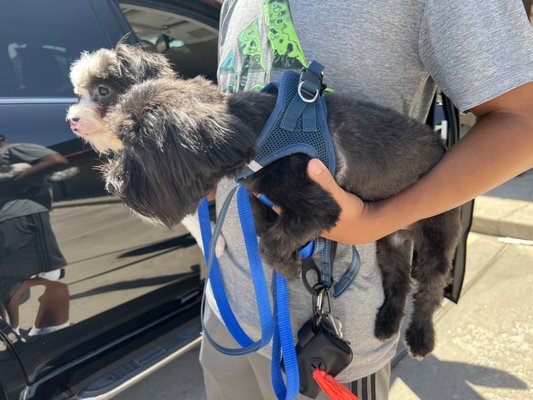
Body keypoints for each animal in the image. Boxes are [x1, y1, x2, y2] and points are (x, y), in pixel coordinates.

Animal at [67, 44, 462, 360]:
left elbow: (269, 243)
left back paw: (419, 337)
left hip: (438, 235)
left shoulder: (320, 207)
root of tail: (441, 144)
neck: (259, 133)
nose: (112, 184)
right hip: (389, 244)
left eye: (140, 146)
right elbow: (261, 226)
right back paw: (387, 322)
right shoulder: (260, 195)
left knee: (429, 288)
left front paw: (287, 267)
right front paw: (292, 257)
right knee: (398, 281)